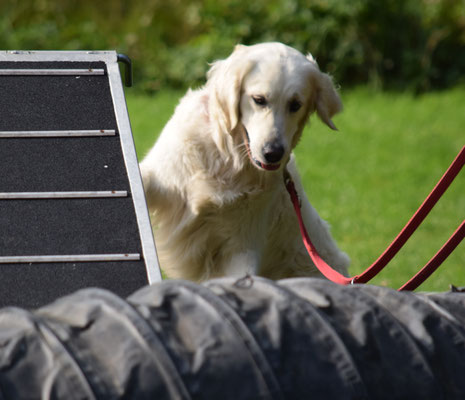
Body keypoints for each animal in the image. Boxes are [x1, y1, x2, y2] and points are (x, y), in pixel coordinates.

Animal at [141, 42, 348, 282]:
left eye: (295, 105)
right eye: (259, 100)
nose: (273, 153)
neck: (229, 159)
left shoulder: (242, 244)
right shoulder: (167, 178)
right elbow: (145, 177)